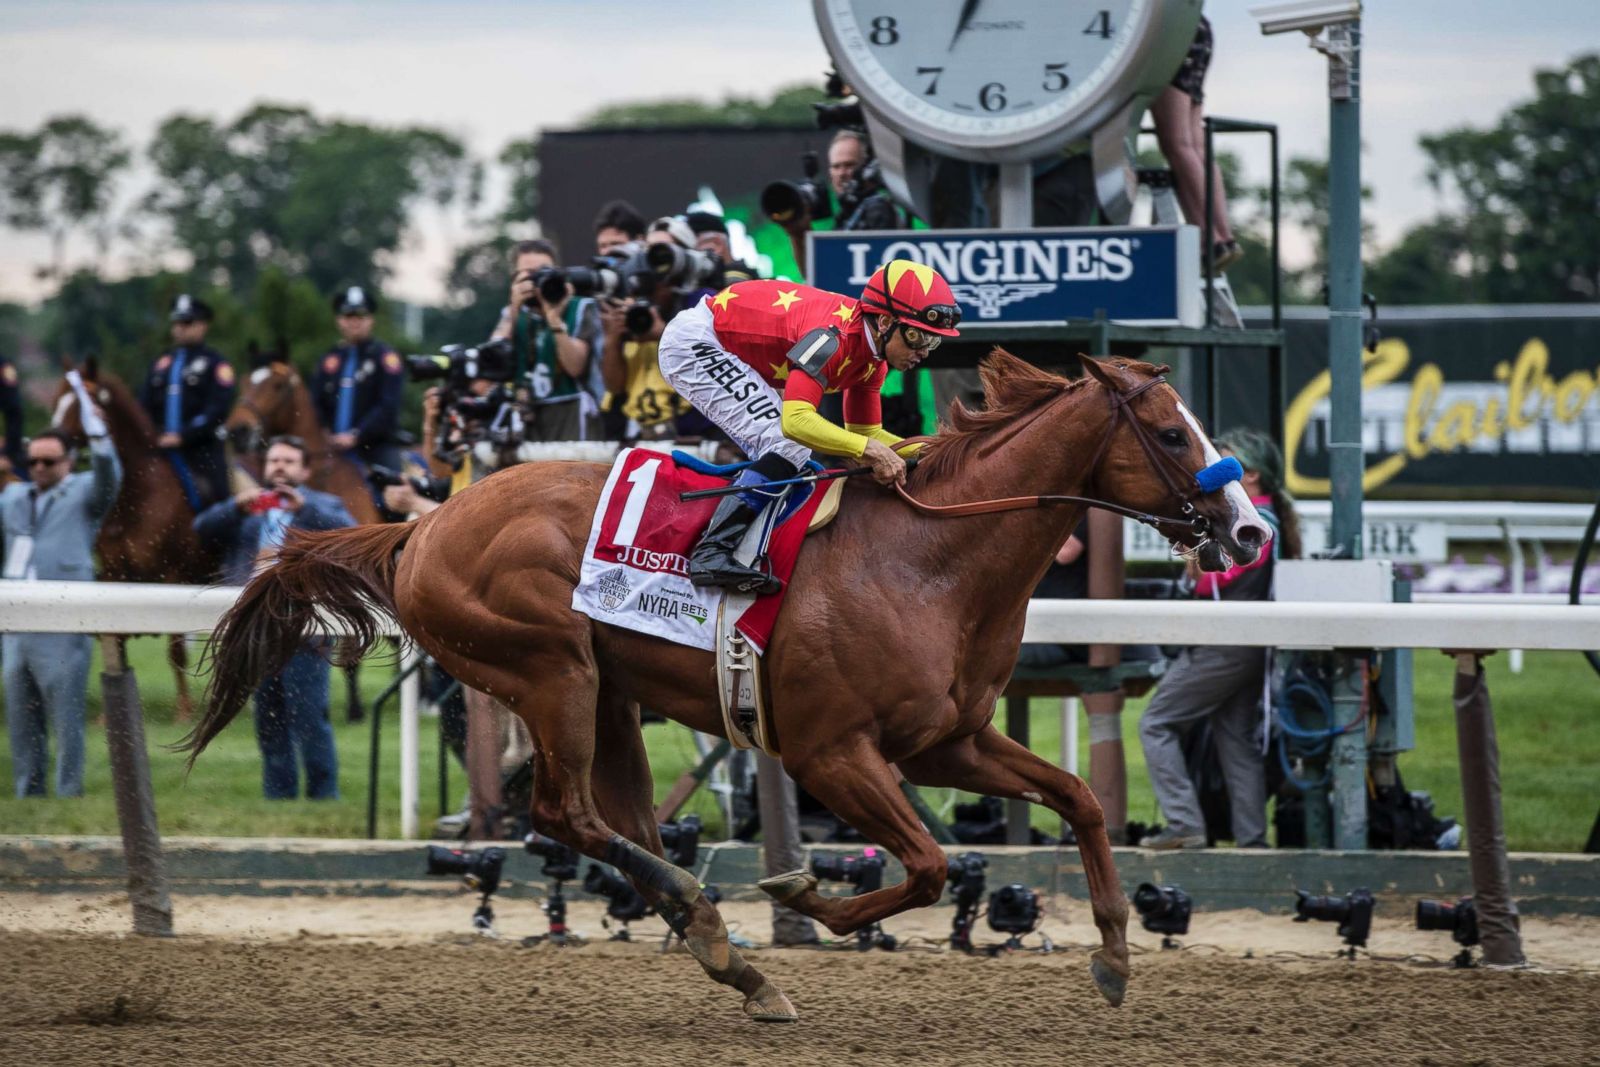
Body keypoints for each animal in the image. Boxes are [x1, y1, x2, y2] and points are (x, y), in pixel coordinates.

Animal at [50, 363, 219, 723]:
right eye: (57, 400)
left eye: (79, 405)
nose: (51, 438)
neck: (136, 497)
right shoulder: (115, 576)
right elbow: (115, 639)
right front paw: (106, 717)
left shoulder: (174, 576)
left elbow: (176, 649)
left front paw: (183, 711)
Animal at [184, 351, 1260, 1023]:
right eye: (1171, 433)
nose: (1250, 530)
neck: (929, 559)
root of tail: (422, 524)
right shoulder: (832, 750)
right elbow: (920, 864)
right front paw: (806, 894)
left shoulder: (943, 740)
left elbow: (1077, 800)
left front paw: (1114, 956)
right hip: (550, 668)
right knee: (568, 814)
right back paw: (718, 932)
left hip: (608, 694)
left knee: (619, 822)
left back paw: (724, 952)